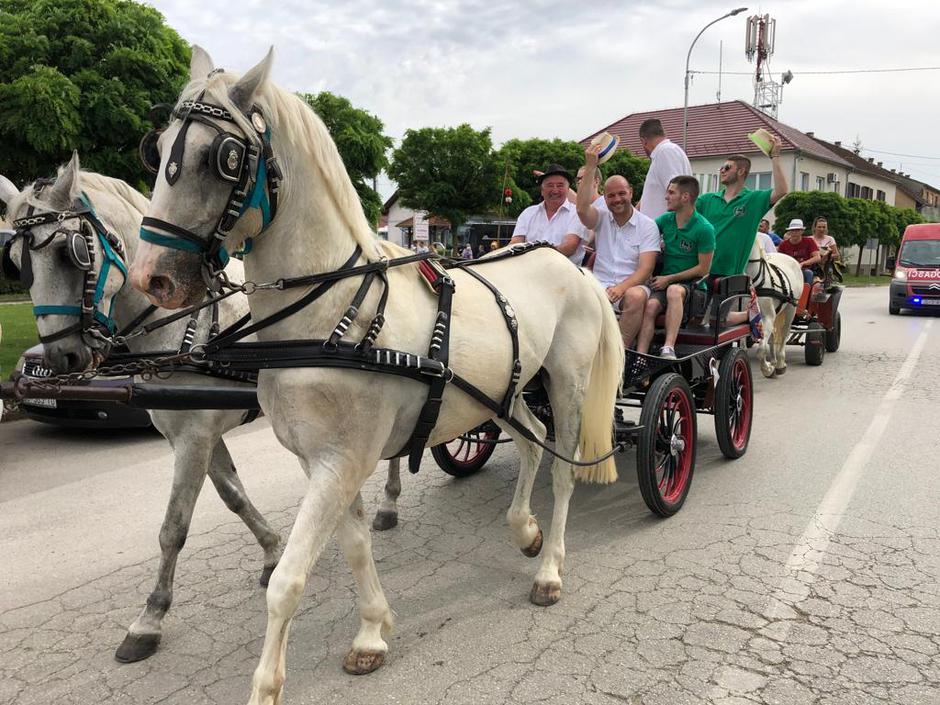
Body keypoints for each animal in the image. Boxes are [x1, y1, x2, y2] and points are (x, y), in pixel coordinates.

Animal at [126, 46, 624, 700]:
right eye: (157, 152)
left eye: (223, 158)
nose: (152, 278)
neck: (332, 312)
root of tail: (572, 265)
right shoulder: (326, 459)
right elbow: (357, 544)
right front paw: (371, 631)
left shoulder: (341, 461)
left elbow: (288, 579)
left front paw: (266, 685)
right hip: (504, 391)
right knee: (534, 443)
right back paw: (524, 531)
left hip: (567, 384)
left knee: (563, 469)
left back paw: (549, 568)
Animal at [744, 235, 804, 380]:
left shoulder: (766, 317)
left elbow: (761, 350)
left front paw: (767, 369)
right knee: (773, 336)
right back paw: (774, 360)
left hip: (791, 309)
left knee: (784, 333)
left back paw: (780, 363)